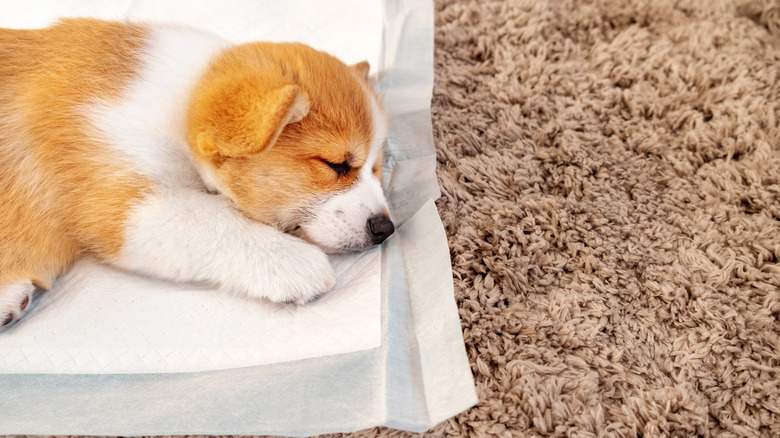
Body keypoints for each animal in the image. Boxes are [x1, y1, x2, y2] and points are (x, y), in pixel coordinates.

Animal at [0, 18, 394, 330]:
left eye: (375, 168)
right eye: (336, 165)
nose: (385, 229)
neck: (178, 105)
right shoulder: (117, 204)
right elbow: (211, 219)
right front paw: (293, 262)